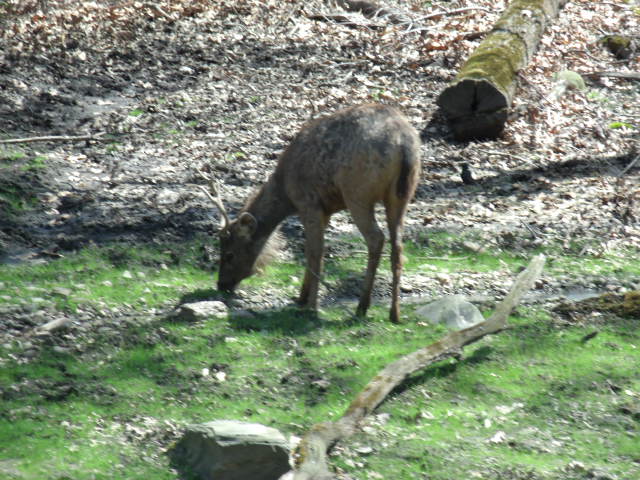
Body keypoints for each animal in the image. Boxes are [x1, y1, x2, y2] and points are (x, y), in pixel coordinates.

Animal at [205, 103, 421, 323]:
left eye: (229, 254)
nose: (221, 284)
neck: (285, 192)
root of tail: (403, 143)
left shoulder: (308, 203)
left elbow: (315, 252)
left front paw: (311, 306)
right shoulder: (326, 210)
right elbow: (309, 250)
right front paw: (301, 297)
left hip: (357, 192)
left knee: (376, 238)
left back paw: (362, 307)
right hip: (402, 194)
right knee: (398, 246)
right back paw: (394, 313)